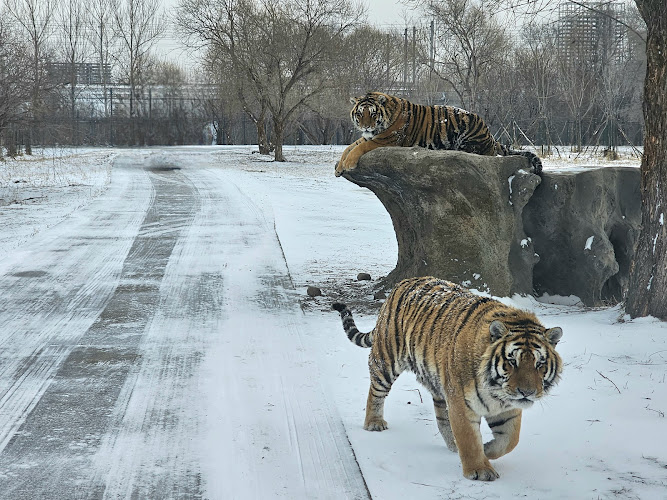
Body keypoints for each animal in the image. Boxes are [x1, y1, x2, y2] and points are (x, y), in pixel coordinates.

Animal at [332, 276, 562, 481]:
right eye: (512, 361)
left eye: (539, 364)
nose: (527, 393)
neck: (496, 393)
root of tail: (403, 282)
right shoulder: (462, 403)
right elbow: (469, 438)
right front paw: (479, 469)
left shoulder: (508, 408)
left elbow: (510, 440)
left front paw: (486, 450)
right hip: (387, 360)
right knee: (376, 392)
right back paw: (374, 422)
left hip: (439, 384)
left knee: (442, 418)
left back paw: (452, 445)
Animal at [334, 92, 542, 177]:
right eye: (360, 114)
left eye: (373, 113)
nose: (366, 126)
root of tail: (490, 135)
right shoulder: (369, 136)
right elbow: (349, 147)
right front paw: (338, 167)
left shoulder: (385, 140)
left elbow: (360, 147)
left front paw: (348, 164)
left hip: (468, 134)